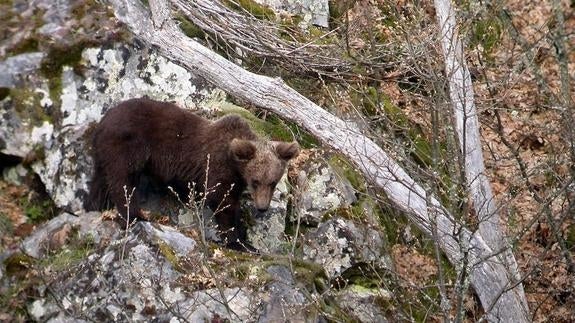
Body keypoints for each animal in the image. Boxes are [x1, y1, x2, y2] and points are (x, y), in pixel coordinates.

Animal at [87, 98, 302, 251]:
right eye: (256, 181)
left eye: (273, 182)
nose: (263, 207)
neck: (236, 166)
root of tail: (103, 121)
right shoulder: (216, 169)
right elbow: (222, 203)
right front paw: (238, 241)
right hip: (128, 146)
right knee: (122, 180)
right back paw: (136, 215)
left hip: (104, 154)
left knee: (100, 180)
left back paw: (97, 205)